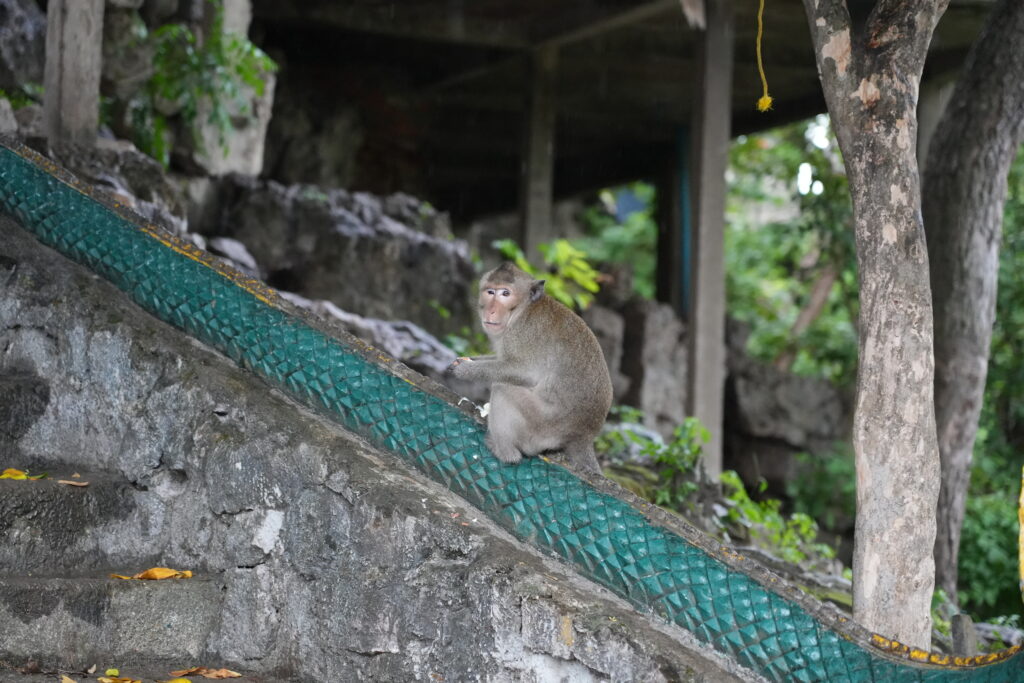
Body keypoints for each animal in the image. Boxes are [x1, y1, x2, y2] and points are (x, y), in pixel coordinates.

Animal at [447, 262, 613, 474]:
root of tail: (583, 437)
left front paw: (465, 371)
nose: (490, 311)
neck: (522, 310)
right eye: (490, 292)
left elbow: (522, 372)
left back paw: (506, 453)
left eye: (505, 293)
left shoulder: (522, 333)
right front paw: (464, 361)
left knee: (502, 387)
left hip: (540, 427)